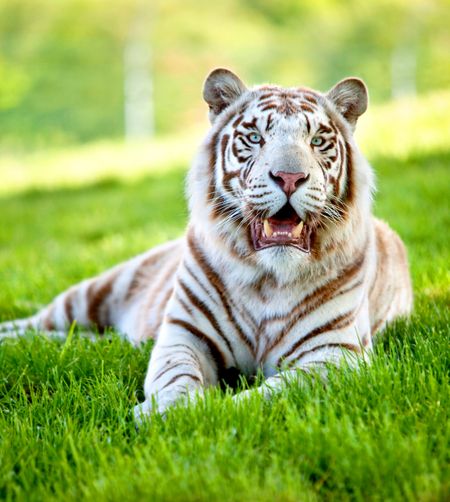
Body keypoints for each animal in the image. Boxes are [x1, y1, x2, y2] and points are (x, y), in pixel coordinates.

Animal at [0, 67, 412, 420]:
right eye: (255, 138)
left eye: (317, 141)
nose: (289, 177)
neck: (269, 278)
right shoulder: (184, 334)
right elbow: (174, 376)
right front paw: (170, 412)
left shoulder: (336, 355)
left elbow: (272, 394)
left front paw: (212, 413)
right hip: (93, 292)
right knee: (36, 324)